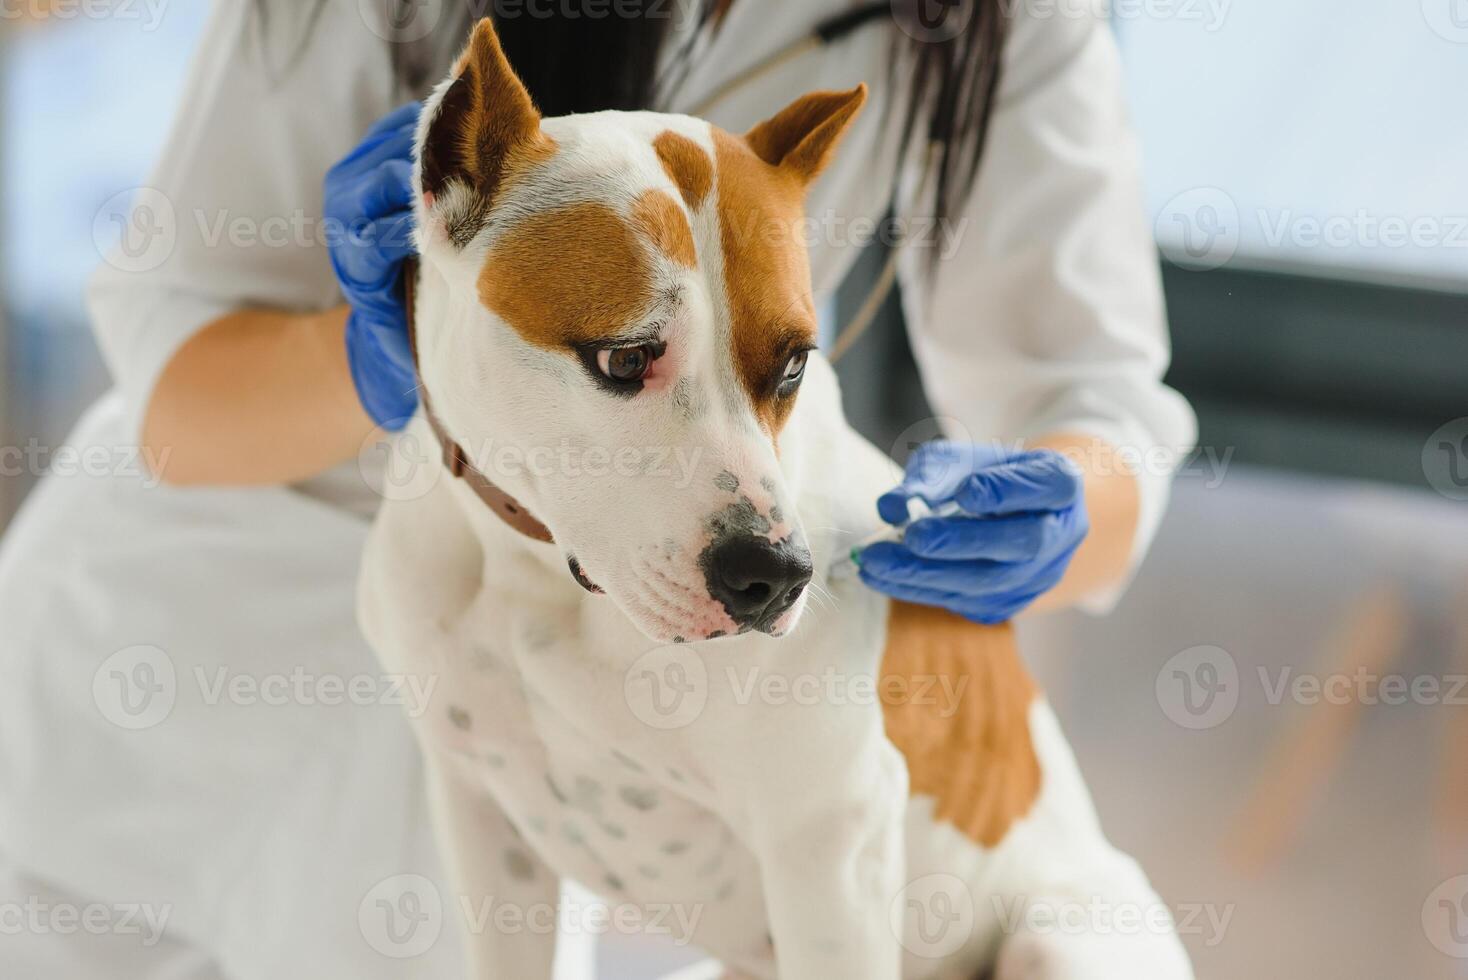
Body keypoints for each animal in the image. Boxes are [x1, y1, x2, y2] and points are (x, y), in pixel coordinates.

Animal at [355, 17, 1192, 979]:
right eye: (626, 358)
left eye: (793, 364)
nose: (775, 578)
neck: (534, 569)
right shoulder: (485, 818)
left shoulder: (831, 844)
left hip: (1060, 936)